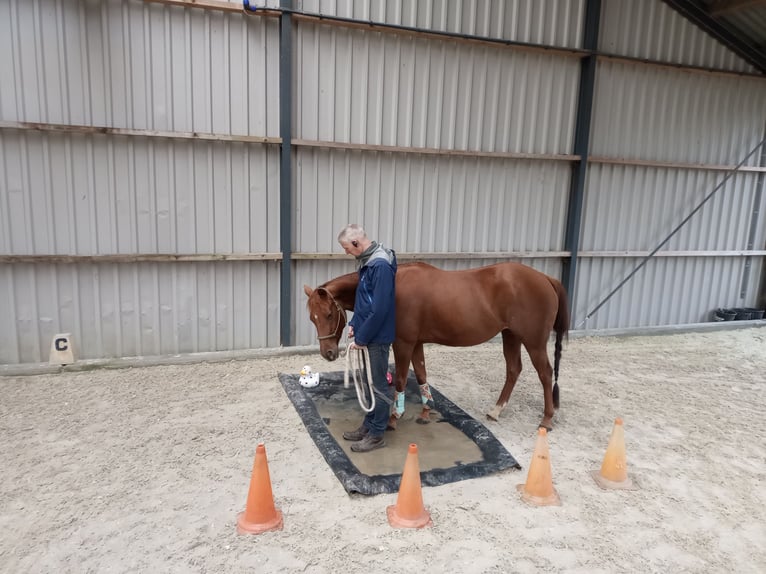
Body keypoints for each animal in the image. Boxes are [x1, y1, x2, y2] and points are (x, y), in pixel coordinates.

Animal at [304, 264, 568, 430]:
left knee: (545, 373)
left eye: (329, 314)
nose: (328, 353)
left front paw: (394, 417)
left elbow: (401, 379)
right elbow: (421, 374)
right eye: (312, 318)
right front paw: (425, 412)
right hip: (510, 336)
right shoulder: (417, 343)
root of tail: (547, 279)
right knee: (513, 369)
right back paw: (496, 410)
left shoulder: (404, 343)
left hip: (534, 341)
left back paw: (547, 419)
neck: (392, 288)